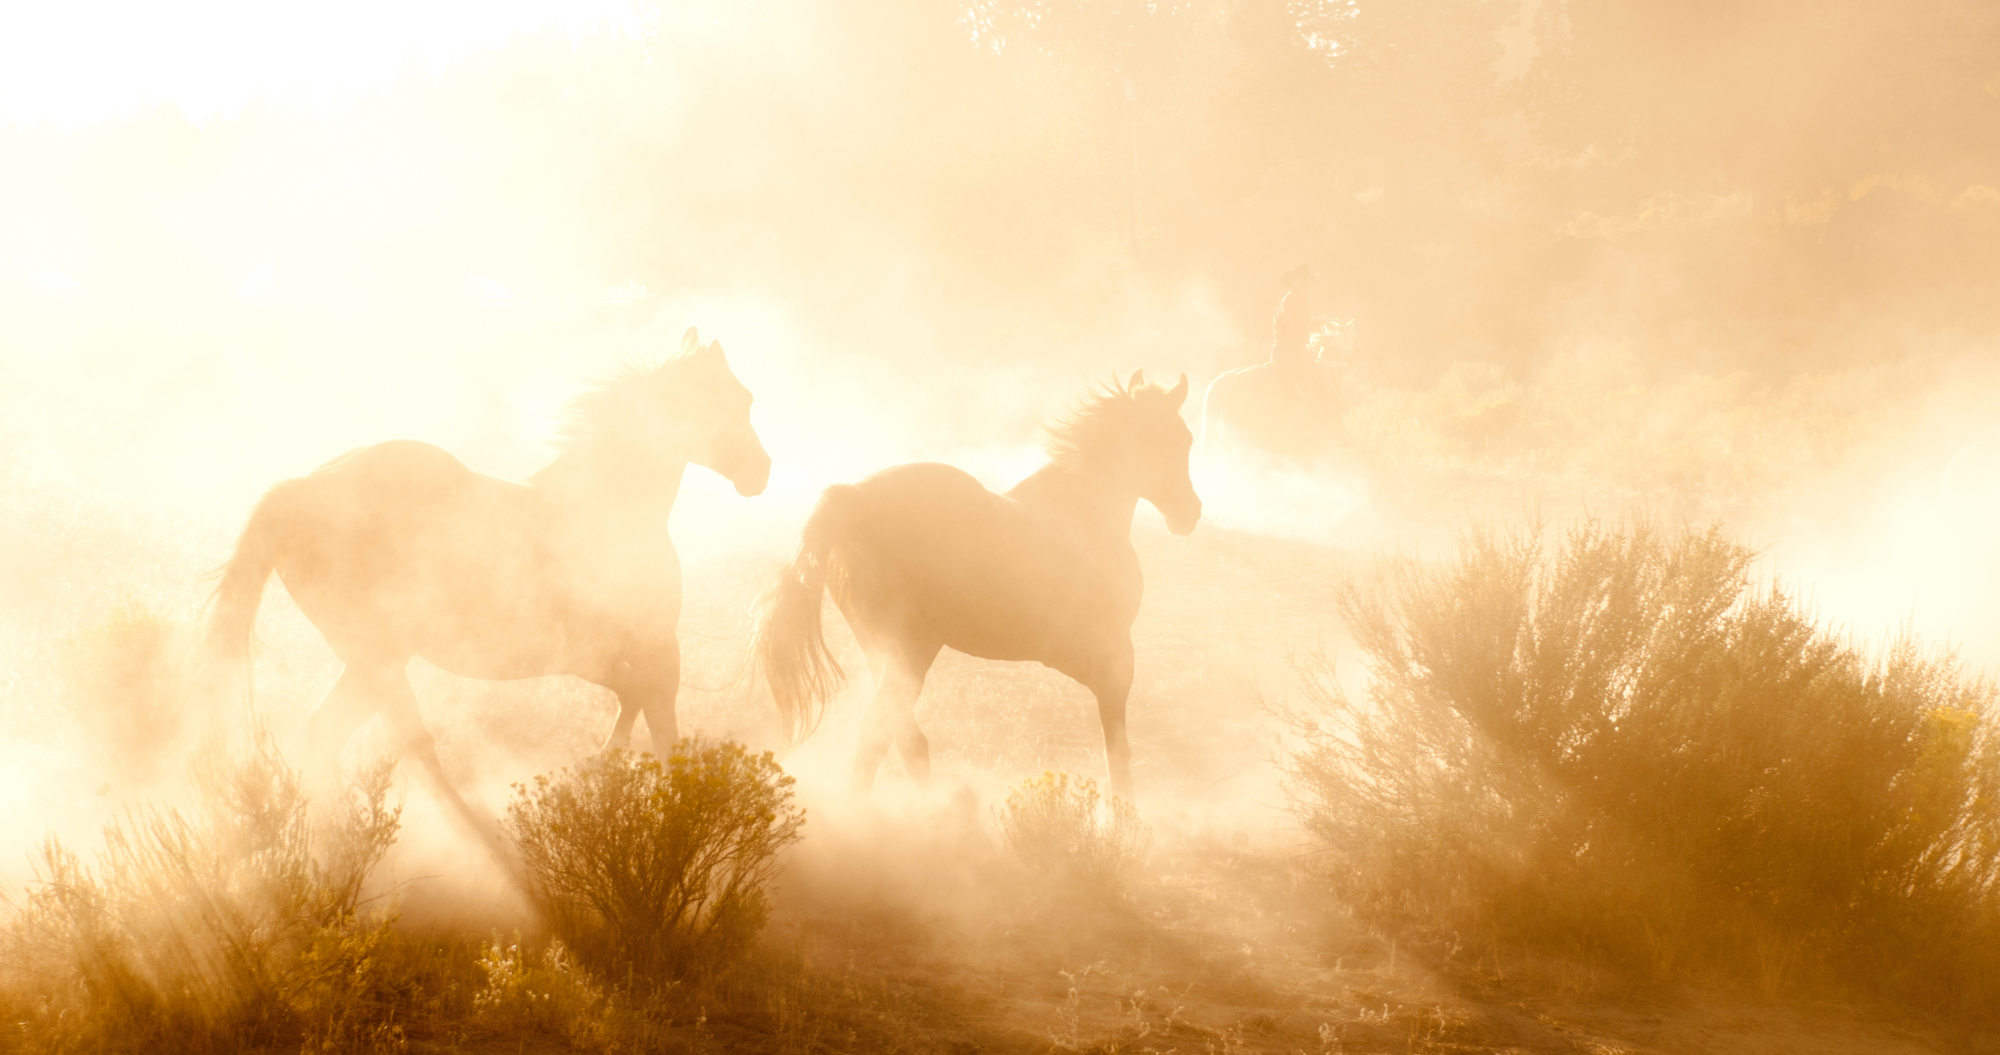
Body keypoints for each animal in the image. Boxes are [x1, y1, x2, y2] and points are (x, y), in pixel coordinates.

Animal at [201, 327, 769, 845]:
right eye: (737, 399)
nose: (761, 473)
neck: (608, 504)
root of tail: (302, 490)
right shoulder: (651, 648)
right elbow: (662, 729)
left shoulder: (595, 656)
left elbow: (632, 703)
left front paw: (601, 774)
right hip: (378, 655)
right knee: (373, 741)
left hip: (374, 660)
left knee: (349, 738)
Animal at [753, 371, 1200, 800]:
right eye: (1180, 439)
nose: (1191, 512)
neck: (1083, 514)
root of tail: (852, 497)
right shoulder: (1114, 659)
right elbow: (1118, 753)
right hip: (911, 650)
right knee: (877, 734)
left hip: (886, 653)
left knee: (906, 738)